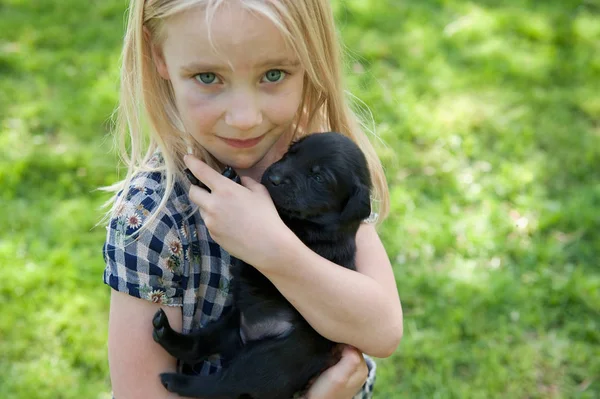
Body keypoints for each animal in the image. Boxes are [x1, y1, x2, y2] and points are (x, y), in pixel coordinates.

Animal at [152, 133, 372, 398]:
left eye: (318, 178)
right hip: (230, 325)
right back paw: (165, 332)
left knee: (225, 386)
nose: (274, 177)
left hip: (272, 358)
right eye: (291, 153)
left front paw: (229, 181)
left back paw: (176, 381)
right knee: (198, 345)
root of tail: (248, 337)